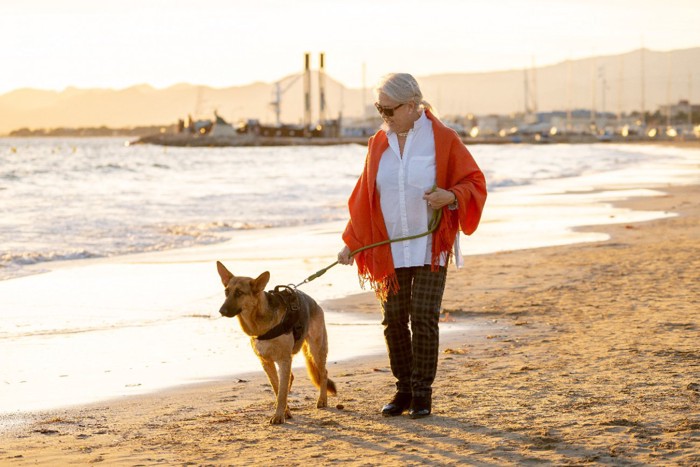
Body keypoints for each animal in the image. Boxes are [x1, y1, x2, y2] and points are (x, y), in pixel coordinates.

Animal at [216, 262, 336, 426]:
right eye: (226, 291)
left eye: (239, 293)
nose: (221, 311)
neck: (259, 322)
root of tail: (315, 303)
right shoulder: (266, 362)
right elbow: (277, 387)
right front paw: (284, 411)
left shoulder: (284, 360)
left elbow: (281, 390)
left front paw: (279, 415)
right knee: (290, 379)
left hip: (316, 350)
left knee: (323, 373)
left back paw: (322, 400)